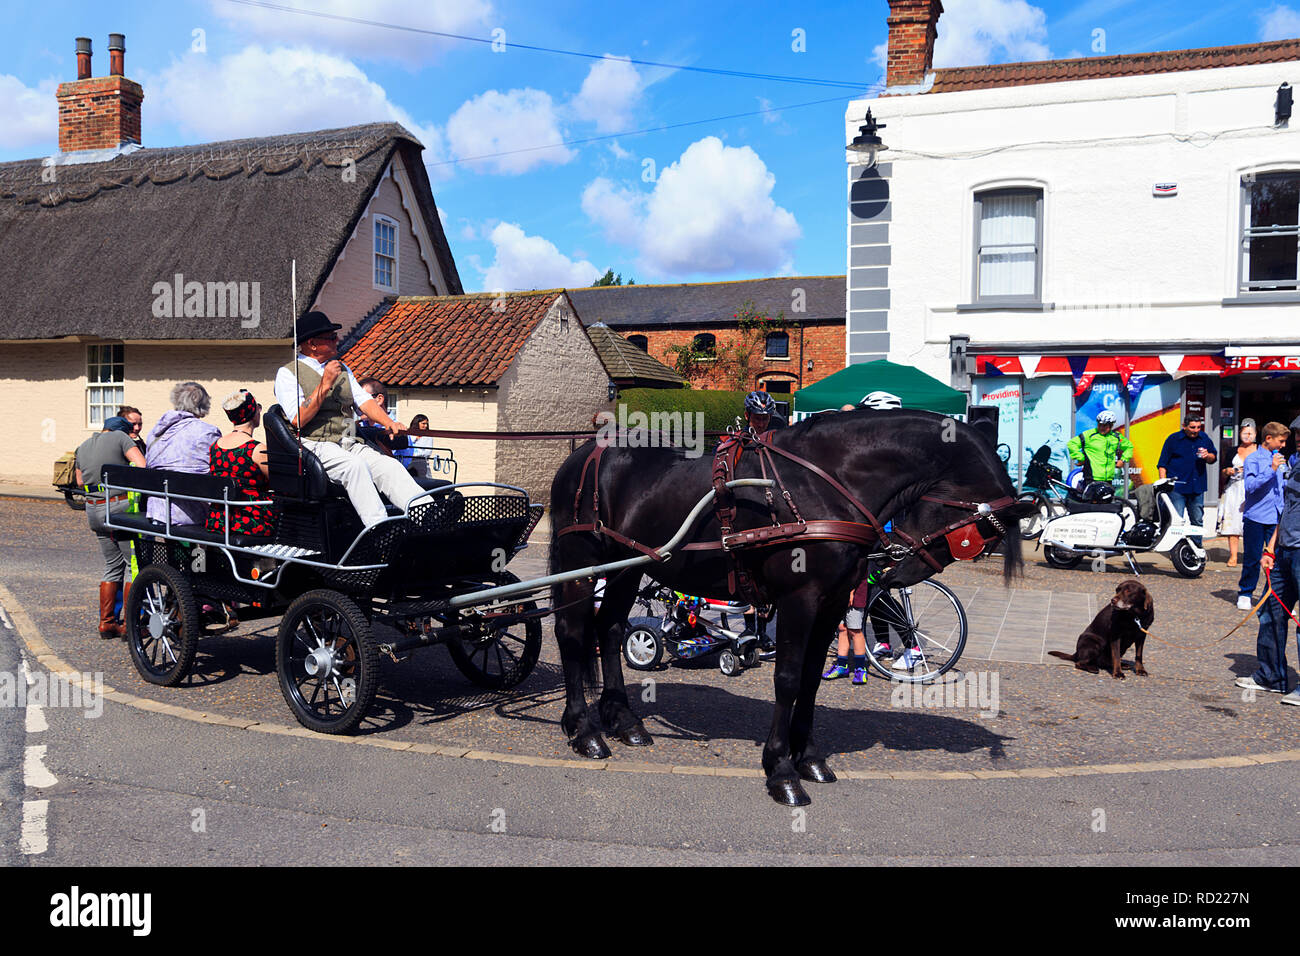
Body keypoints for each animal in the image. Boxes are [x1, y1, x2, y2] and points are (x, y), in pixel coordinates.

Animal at [543, 408, 1029, 806]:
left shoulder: (831, 602)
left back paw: (624, 720)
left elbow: (811, 680)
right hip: (582, 562)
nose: (896, 571)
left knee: (608, 628)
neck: (827, 479)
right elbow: (789, 680)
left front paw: (808, 757)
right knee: (572, 634)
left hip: (628, 567)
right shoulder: (800, 599)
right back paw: (582, 729)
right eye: (976, 534)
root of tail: (583, 452)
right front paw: (780, 769)